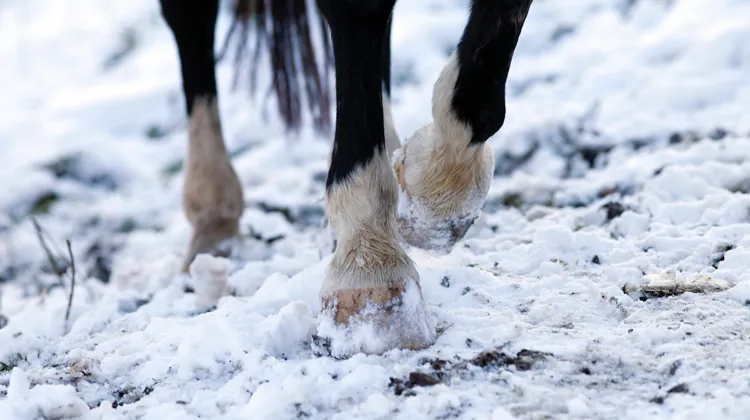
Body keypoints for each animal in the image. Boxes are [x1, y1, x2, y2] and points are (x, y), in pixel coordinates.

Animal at [159, 0, 533, 356]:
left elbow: (480, 102)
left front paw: (431, 201)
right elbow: (362, 13)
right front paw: (371, 268)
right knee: (191, 16)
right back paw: (212, 213)